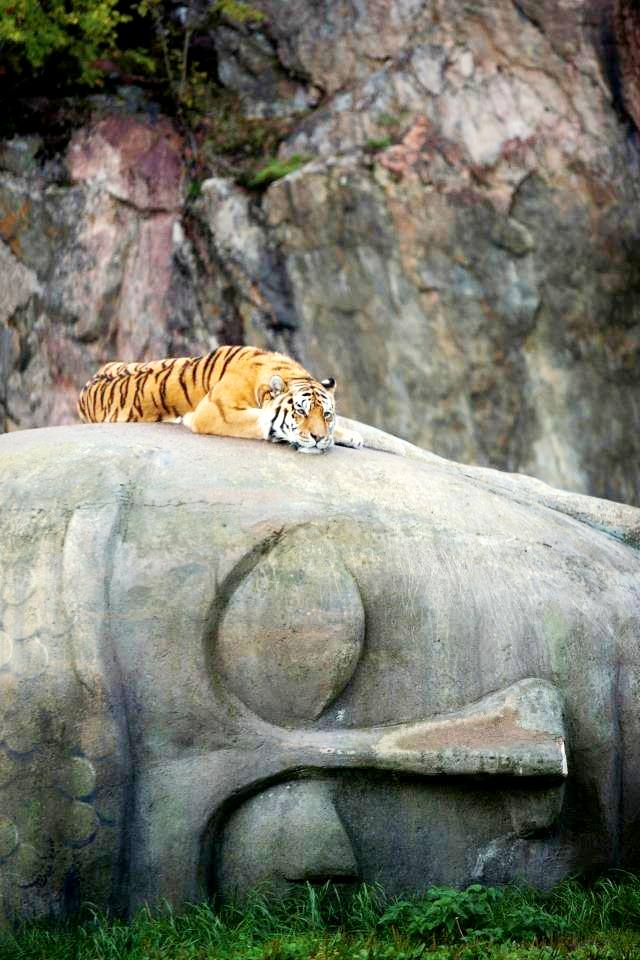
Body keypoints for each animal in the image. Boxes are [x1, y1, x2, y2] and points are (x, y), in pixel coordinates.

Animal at [77, 345, 364, 454]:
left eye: (326, 414)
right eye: (301, 412)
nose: (317, 438)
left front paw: (348, 436)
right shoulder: (216, 411)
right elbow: (263, 420)